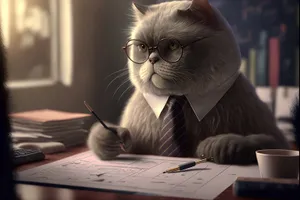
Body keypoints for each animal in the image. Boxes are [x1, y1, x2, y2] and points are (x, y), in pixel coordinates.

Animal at [87, 0, 290, 164]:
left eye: (172, 45)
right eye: (143, 47)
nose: (152, 59)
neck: (177, 97)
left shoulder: (277, 138)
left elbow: (255, 140)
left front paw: (217, 145)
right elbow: (100, 135)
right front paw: (110, 138)